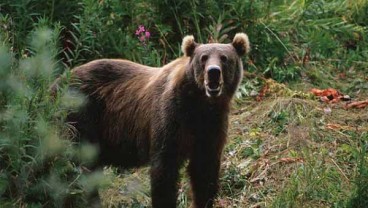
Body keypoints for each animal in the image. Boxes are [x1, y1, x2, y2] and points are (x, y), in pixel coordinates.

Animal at [61, 33, 250, 207]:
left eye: (224, 58)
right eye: (203, 58)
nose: (213, 72)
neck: (199, 104)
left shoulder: (212, 125)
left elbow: (204, 170)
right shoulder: (171, 117)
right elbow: (164, 170)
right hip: (81, 117)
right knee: (80, 169)